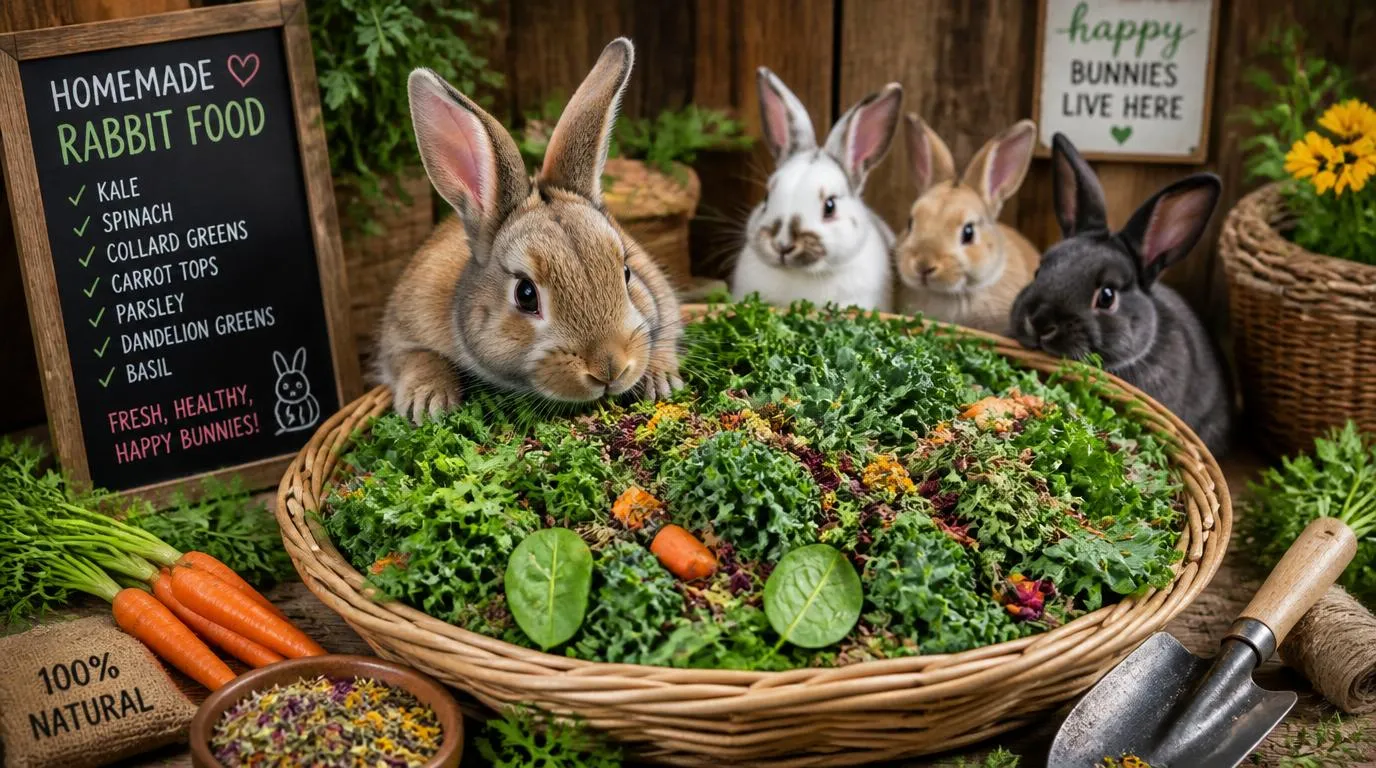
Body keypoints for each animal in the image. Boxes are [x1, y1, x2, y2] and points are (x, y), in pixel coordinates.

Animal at [378, 38, 684, 424]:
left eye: (626, 272)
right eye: (525, 295)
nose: (610, 368)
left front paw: (661, 380)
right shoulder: (401, 331)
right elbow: (412, 356)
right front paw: (428, 403)